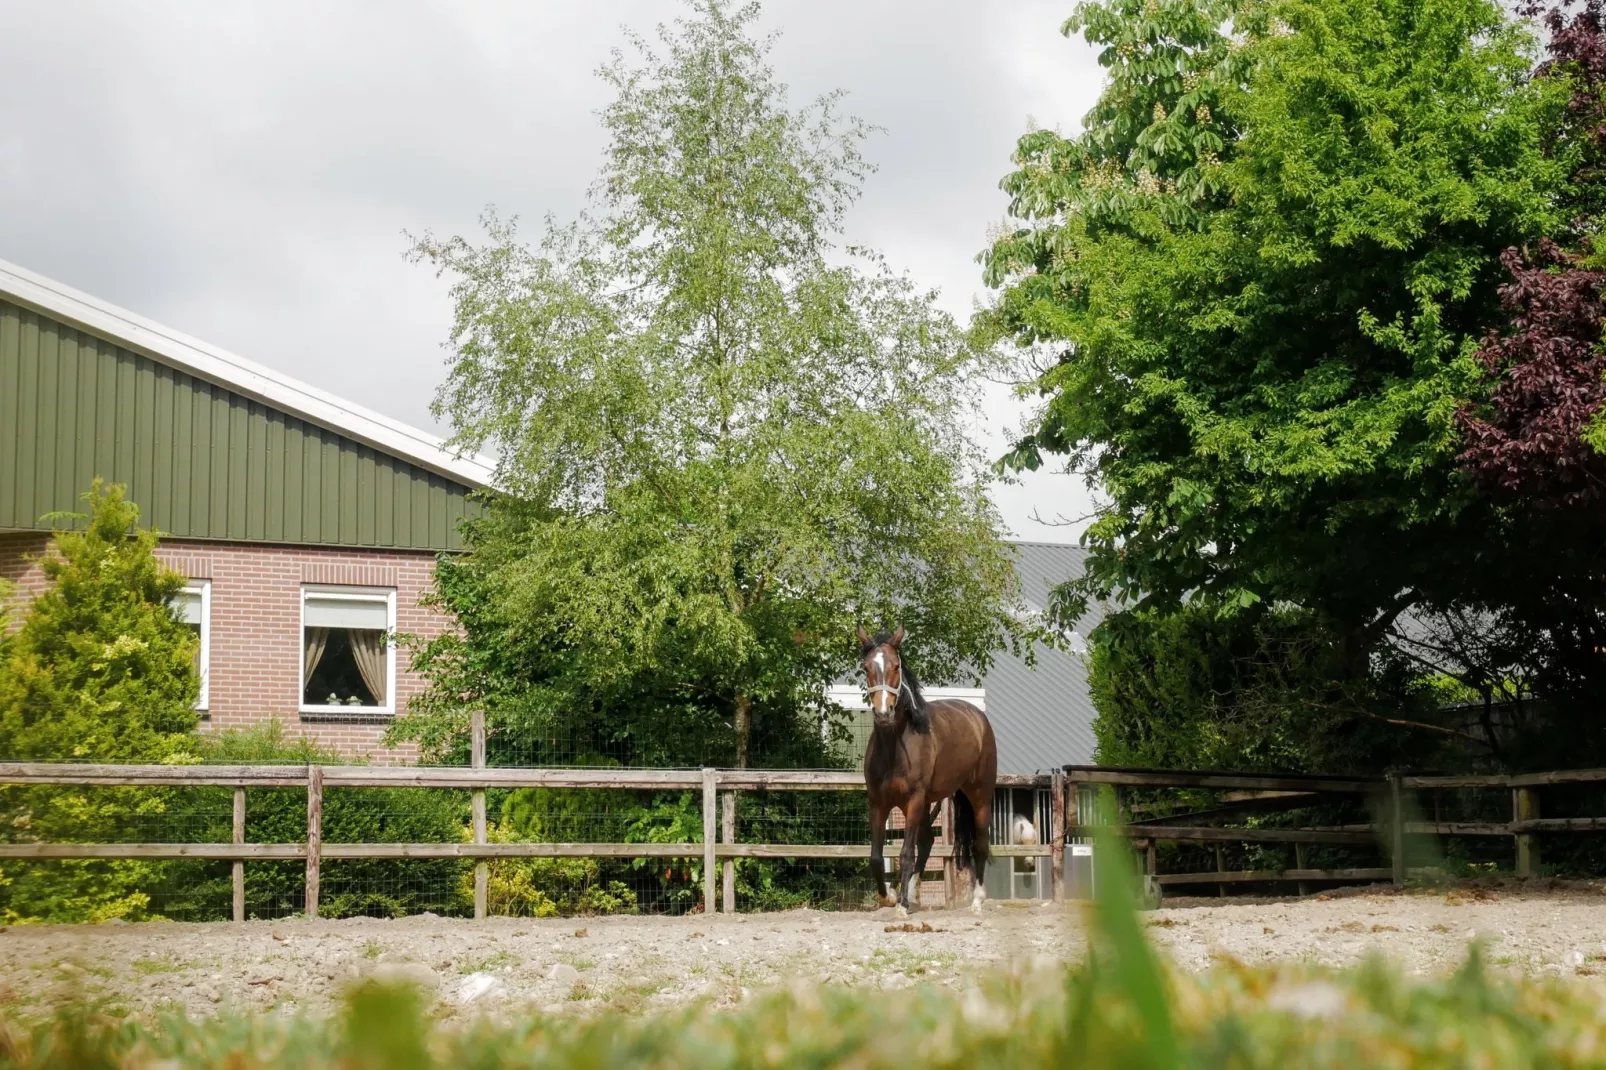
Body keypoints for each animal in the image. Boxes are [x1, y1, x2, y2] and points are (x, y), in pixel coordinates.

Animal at [860, 620, 995, 912]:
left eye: (896, 666)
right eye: (866, 667)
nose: (884, 713)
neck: (895, 746)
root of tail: (978, 717)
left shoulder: (913, 800)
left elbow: (905, 853)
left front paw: (900, 905)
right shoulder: (878, 802)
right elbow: (876, 857)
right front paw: (889, 896)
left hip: (979, 796)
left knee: (980, 844)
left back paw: (977, 900)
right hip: (926, 804)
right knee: (928, 843)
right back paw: (911, 894)